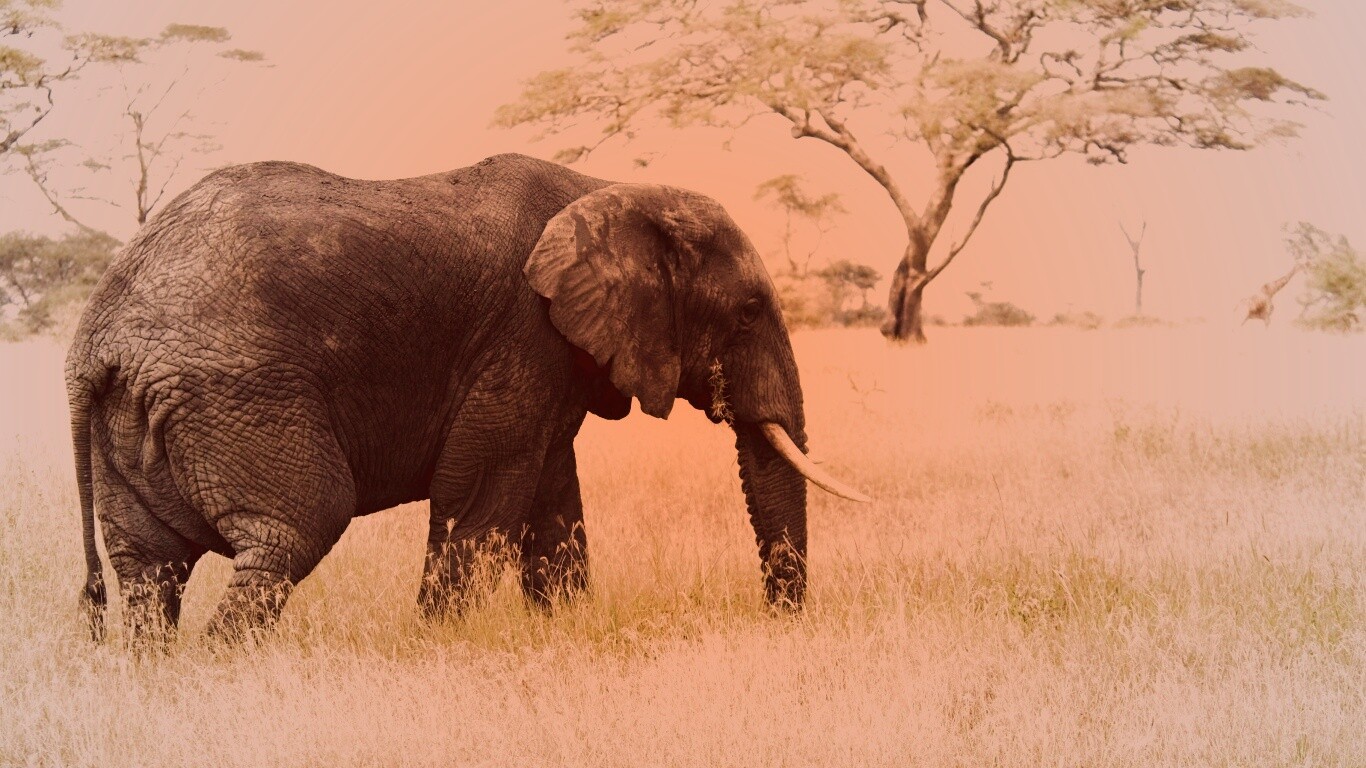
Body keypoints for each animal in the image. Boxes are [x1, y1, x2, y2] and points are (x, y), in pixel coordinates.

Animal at [65, 153, 868, 643]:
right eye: (748, 312)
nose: (780, 623)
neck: (608, 188)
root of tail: (95, 336)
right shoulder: (521, 334)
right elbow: (480, 492)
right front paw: (438, 645)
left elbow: (551, 500)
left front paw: (562, 633)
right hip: (236, 393)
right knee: (294, 528)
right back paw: (223, 669)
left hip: (136, 416)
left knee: (149, 568)